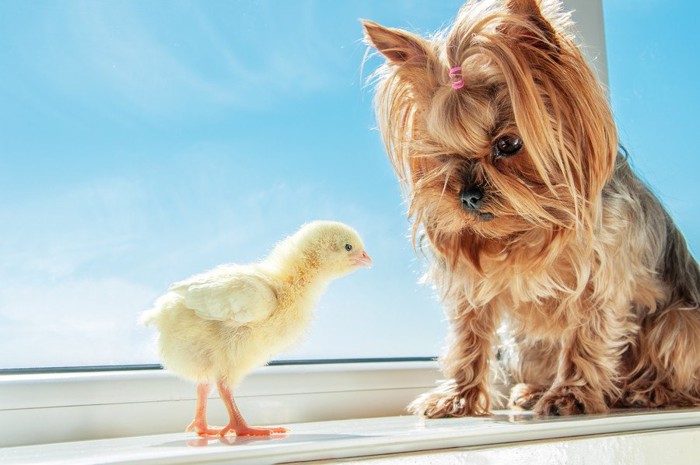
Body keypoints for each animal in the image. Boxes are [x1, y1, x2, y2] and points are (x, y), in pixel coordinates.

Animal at [364, 0, 700, 416]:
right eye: (441, 154)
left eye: (508, 144)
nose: (467, 196)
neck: (528, 224)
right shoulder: (473, 285)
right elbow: (468, 335)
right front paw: (457, 396)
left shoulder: (601, 275)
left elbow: (587, 332)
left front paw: (570, 395)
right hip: (527, 348)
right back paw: (537, 390)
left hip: (678, 322)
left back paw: (647, 391)